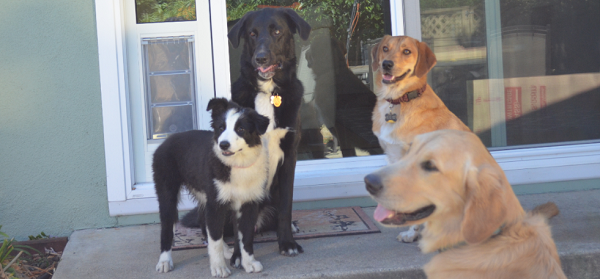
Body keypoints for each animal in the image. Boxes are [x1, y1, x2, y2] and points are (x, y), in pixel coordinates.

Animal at [154, 98, 288, 278]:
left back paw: (225, 249)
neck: (238, 164)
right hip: (167, 190)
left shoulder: (248, 203)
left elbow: (246, 236)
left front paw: (249, 263)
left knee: (206, 225)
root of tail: (168, 139)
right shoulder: (216, 204)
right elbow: (216, 239)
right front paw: (219, 268)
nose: (223, 145)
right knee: (168, 226)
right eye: (221, 128)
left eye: (240, 129)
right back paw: (164, 261)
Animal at [182, 8, 312, 258]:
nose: (260, 58)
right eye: (252, 33)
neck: (268, 92)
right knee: (209, 225)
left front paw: (287, 243)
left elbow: (286, 207)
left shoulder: (289, 155)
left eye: (277, 31)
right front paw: (238, 256)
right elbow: (236, 223)